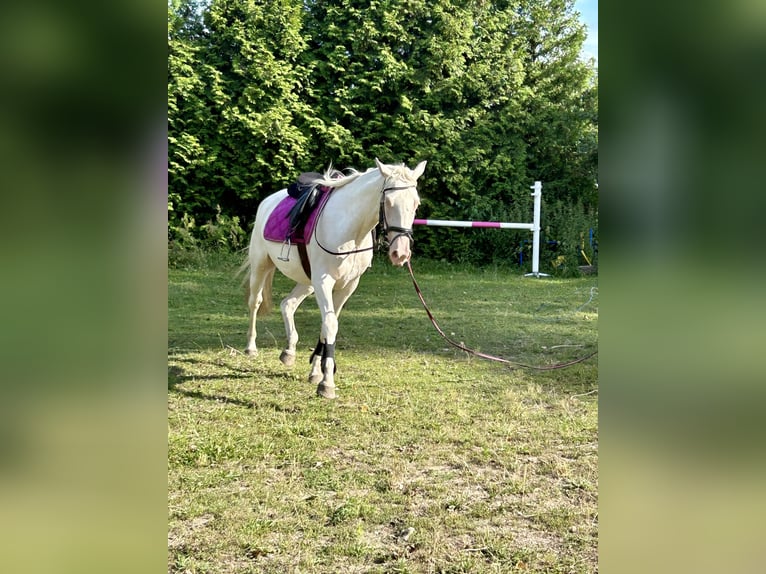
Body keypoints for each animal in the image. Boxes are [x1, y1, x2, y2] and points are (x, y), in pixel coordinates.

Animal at [241, 158, 427, 399]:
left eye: (416, 204)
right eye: (388, 202)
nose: (401, 253)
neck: (350, 231)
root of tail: (267, 202)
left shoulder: (347, 286)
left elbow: (326, 326)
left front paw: (316, 372)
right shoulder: (323, 281)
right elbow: (330, 324)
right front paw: (327, 383)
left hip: (307, 282)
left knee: (287, 304)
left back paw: (289, 351)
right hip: (261, 266)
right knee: (255, 302)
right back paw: (251, 347)